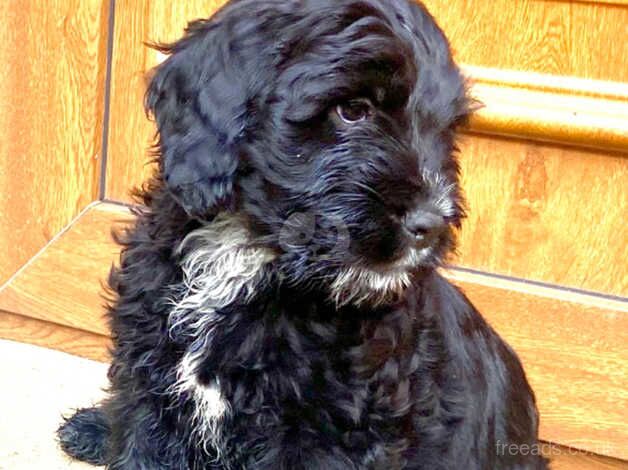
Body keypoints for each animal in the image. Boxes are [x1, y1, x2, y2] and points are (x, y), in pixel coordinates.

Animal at [60, 1, 548, 468]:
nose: (431, 224)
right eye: (352, 110)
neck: (249, 255)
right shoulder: (151, 383)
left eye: (445, 130)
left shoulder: (330, 427)